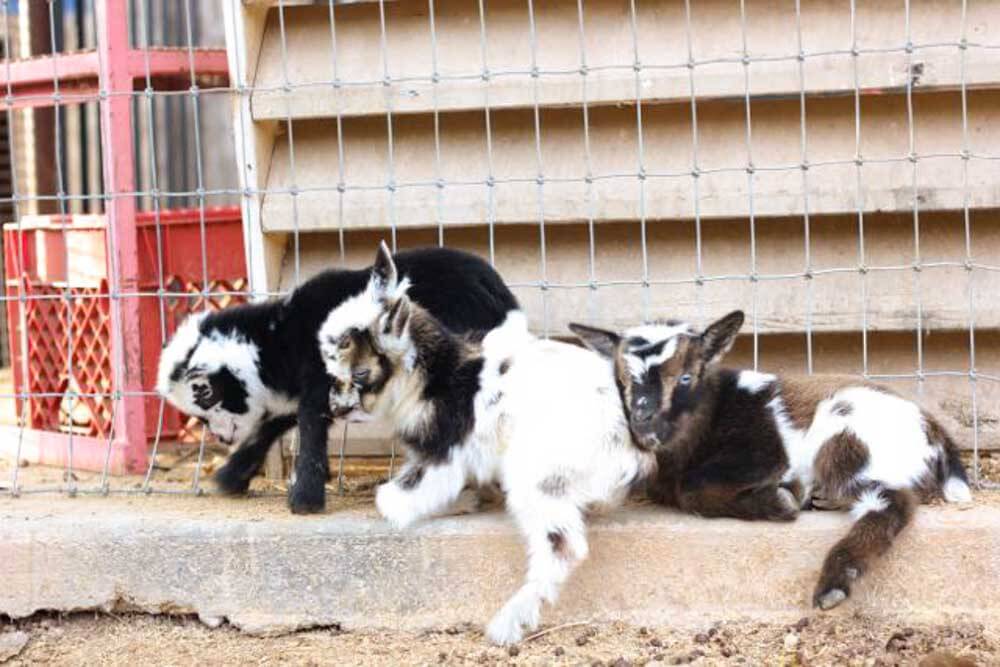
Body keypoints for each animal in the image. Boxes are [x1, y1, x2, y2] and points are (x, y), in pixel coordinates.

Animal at [158, 248, 516, 516]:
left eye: (205, 395)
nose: (220, 436)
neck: (279, 340)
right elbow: (275, 423)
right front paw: (231, 478)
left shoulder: (322, 379)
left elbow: (309, 423)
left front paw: (305, 499)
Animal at [316, 244, 652, 648]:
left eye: (361, 373)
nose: (335, 407)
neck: (438, 376)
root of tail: (628, 450)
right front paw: (472, 499)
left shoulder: (443, 453)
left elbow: (398, 497)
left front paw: (451, 502)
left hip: (538, 479)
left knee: (564, 546)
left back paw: (508, 624)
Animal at [576, 310, 972, 612]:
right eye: (621, 382)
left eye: (686, 376)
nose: (643, 426)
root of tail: (933, 429)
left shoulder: (765, 452)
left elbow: (693, 489)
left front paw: (780, 499)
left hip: (847, 437)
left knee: (888, 502)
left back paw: (832, 581)